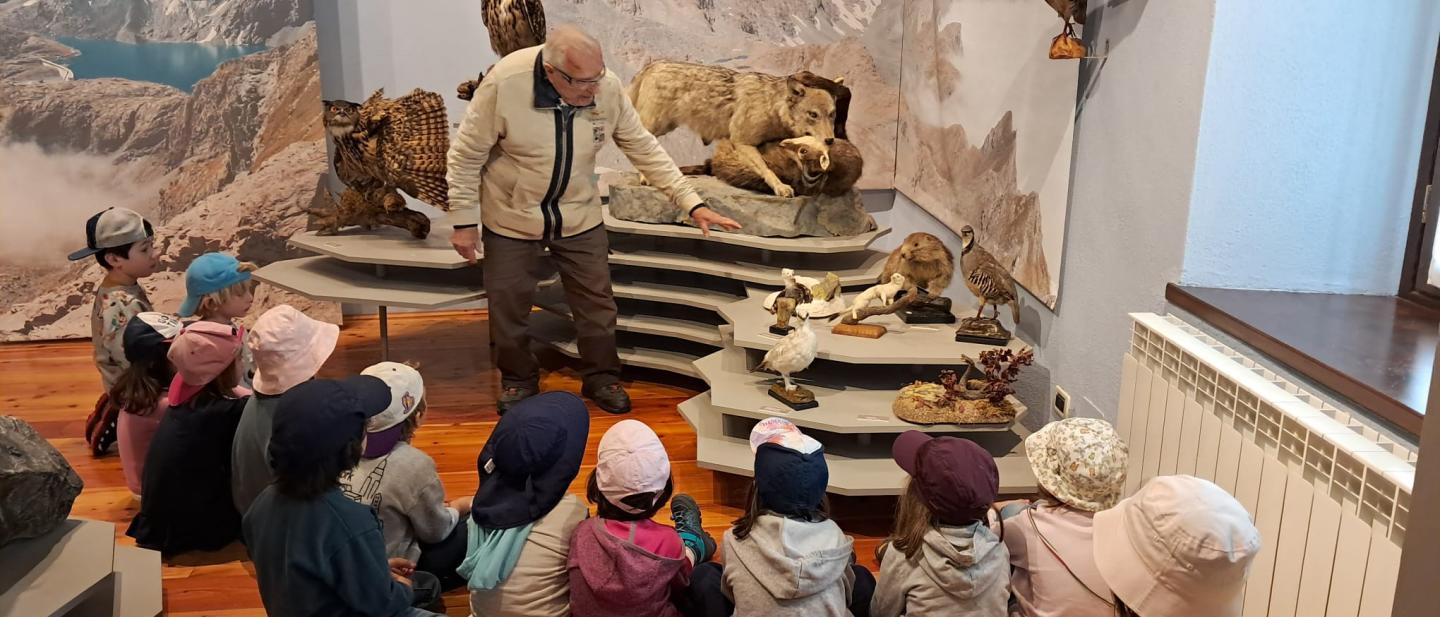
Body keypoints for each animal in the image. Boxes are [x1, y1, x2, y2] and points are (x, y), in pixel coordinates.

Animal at [624, 60, 840, 197]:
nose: (830, 140)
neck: (771, 105)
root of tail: (652, 65)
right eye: (813, 115)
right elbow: (767, 168)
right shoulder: (741, 143)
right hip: (655, 126)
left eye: (832, 114)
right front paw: (781, 188)